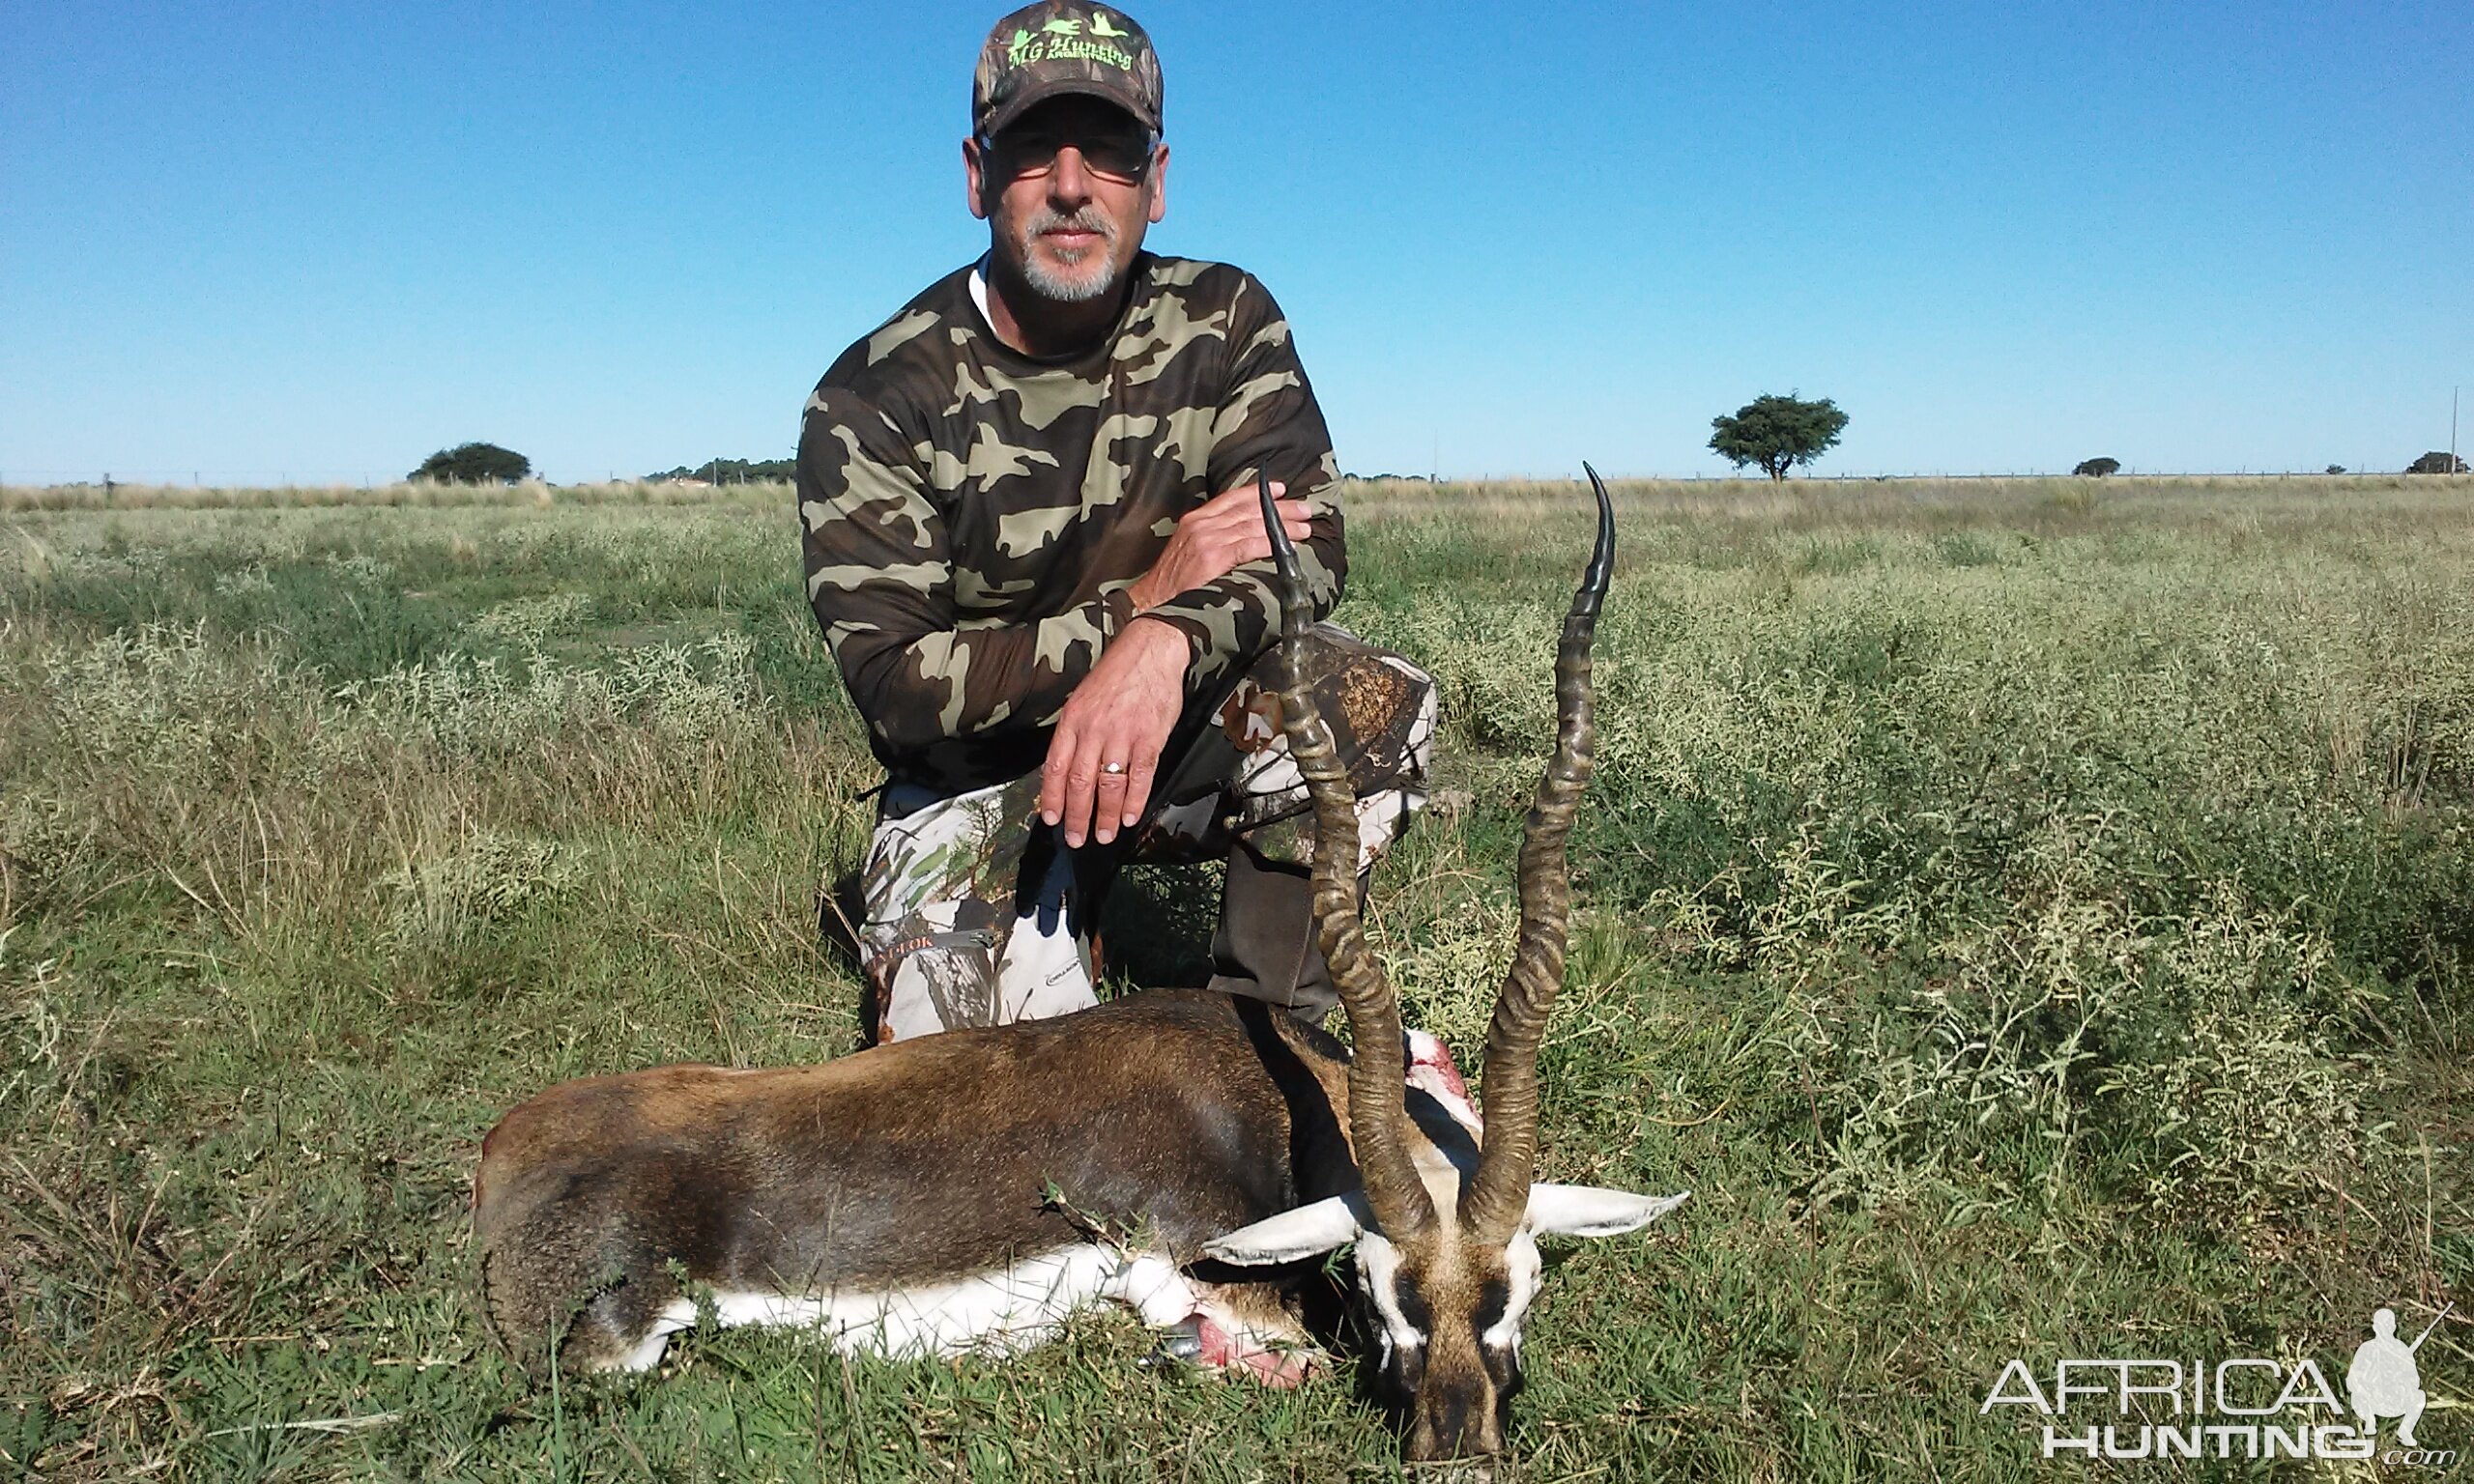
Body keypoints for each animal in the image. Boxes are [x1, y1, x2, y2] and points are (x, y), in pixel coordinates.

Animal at [472, 471, 1692, 1464]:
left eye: (1516, 1288)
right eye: (1379, 1289)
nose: (1455, 1448)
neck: (1258, 1090)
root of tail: (499, 1149)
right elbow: (1266, 1349)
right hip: (621, 1347)